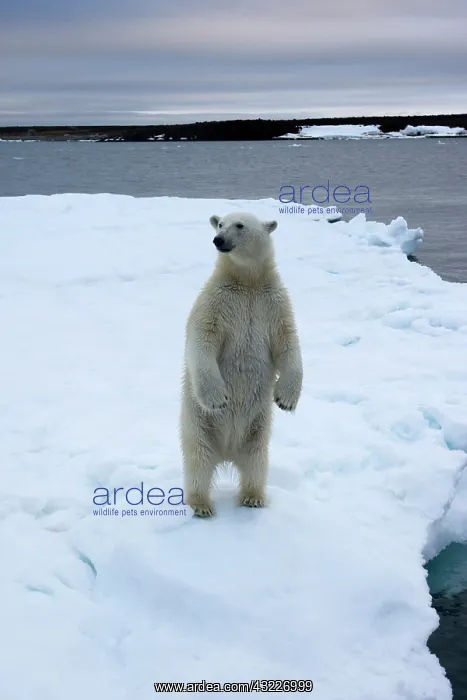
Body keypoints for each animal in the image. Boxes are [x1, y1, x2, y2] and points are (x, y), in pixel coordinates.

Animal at [180, 211, 303, 517]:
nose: (218, 240)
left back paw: (253, 497)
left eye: (240, 225)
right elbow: (203, 338)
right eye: (220, 223)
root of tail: (226, 453)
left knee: (256, 462)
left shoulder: (273, 303)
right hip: (198, 424)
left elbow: (288, 342)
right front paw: (219, 398)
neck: (247, 282)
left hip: (257, 428)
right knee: (198, 461)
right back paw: (201, 504)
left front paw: (286, 399)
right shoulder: (217, 301)